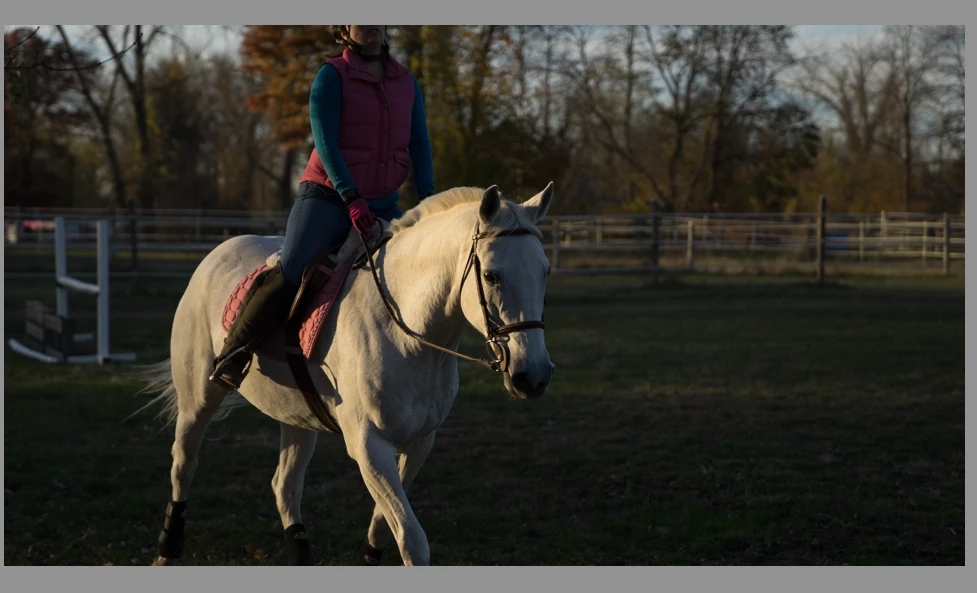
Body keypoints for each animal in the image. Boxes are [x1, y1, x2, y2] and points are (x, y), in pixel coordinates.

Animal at [136, 183, 557, 566]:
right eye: (492, 276)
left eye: (545, 272)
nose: (533, 375)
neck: (410, 334)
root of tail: (219, 252)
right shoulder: (369, 445)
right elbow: (412, 540)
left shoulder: (419, 443)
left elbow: (384, 527)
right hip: (198, 399)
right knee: (184, 464)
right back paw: (167, 549)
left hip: (296, 416)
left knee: (285, 485)